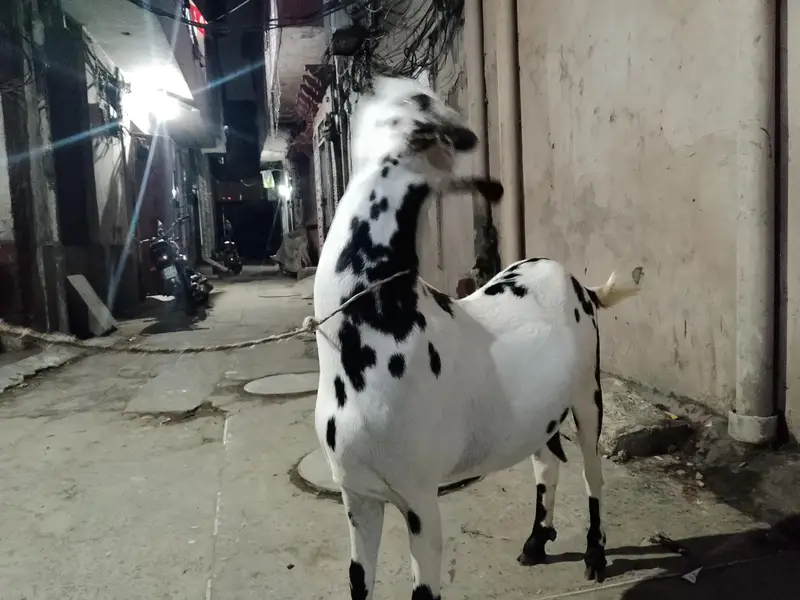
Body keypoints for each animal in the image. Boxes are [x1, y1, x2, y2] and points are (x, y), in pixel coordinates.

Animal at [312, 75, 639, 600]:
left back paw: (595, 554)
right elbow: (358, 582)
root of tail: (580, 285)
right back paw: (536, 541)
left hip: (588, 395)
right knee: (548, 461)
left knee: (593, 474)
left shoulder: (420, 499)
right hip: (537, 414)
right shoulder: (357, 498)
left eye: (418, 101)